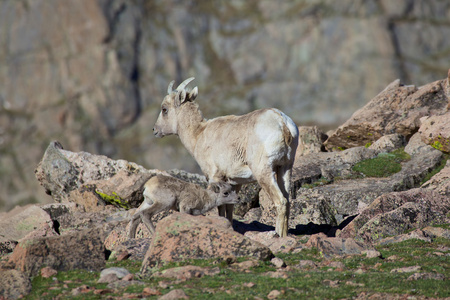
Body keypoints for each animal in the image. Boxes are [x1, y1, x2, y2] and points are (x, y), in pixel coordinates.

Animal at [153, 77, 298, 237]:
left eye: (164, 109)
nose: (155, 130)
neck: (199, 134)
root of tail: (282, 123)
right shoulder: (235, 183)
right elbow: (229, 207)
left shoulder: (215, 177)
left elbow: (220, 206)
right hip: (285, 168)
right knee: (287, 200)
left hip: (264, 172)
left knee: (281, 201)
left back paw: (277, 235)